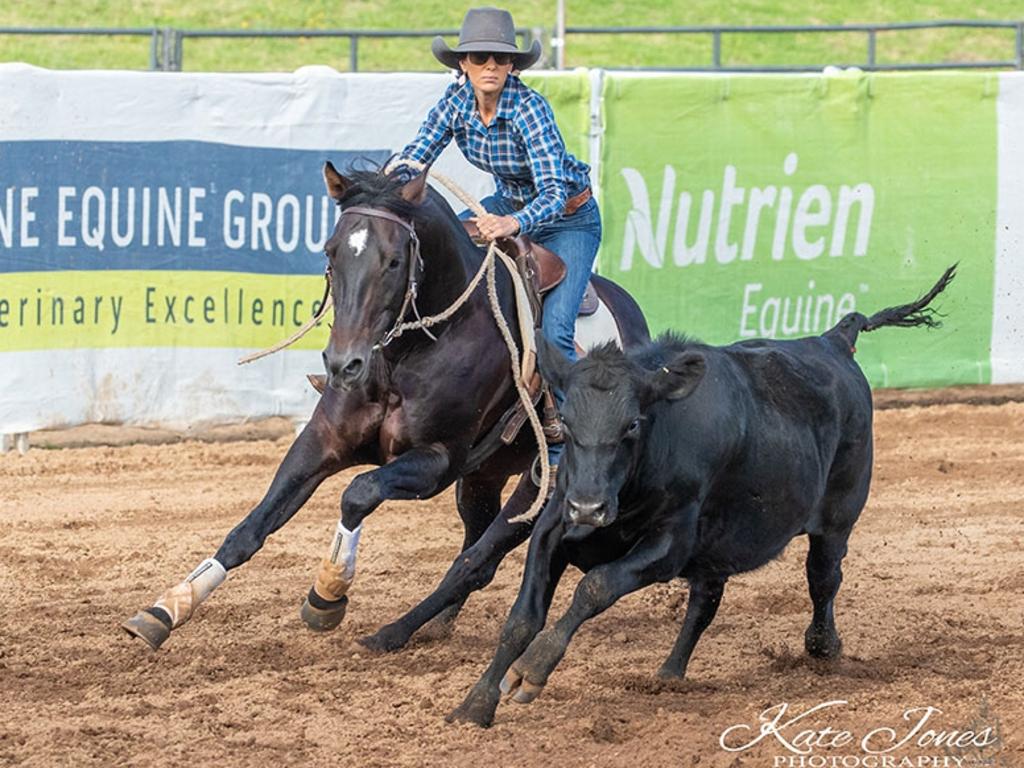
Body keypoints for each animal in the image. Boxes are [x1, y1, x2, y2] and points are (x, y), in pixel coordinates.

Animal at [119, 166, 647, 655]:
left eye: (394, 261)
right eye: (331, 252)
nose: (342, 363)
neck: (409, 351)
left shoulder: (436, 460)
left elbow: (358, 492)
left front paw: (327, 595)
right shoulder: (323, 440)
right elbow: (250, 528)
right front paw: (166, 608)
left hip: (544, 490)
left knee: (476, 561)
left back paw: (394, 632)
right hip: (482, 478)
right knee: (475, 547)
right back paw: (436, 623)